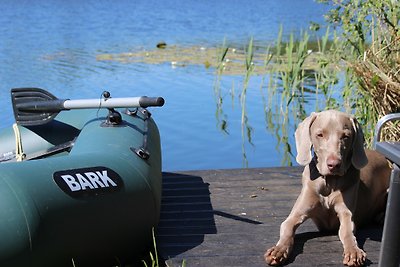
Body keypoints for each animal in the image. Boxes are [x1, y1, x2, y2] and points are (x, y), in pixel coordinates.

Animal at [266, 110, 390, 266]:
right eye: (320, 134)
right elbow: (287, 226)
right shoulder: (297, 213)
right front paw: (278, 250)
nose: (334, 164)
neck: (329, 183)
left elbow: (347, 232)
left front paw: (353, 252)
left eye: (345, 136)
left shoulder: (346, 213)